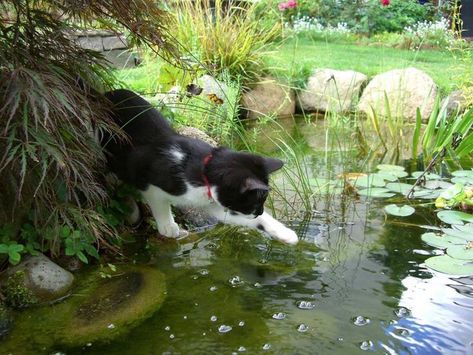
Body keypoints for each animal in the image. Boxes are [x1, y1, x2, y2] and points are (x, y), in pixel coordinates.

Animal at [102, 89, 296, 245]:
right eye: (256, 202)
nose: (260, 211)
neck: (204, 171)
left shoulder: (215, 203)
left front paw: (286, 233)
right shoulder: (150, 181)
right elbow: (159, 202)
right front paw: (168, 226)